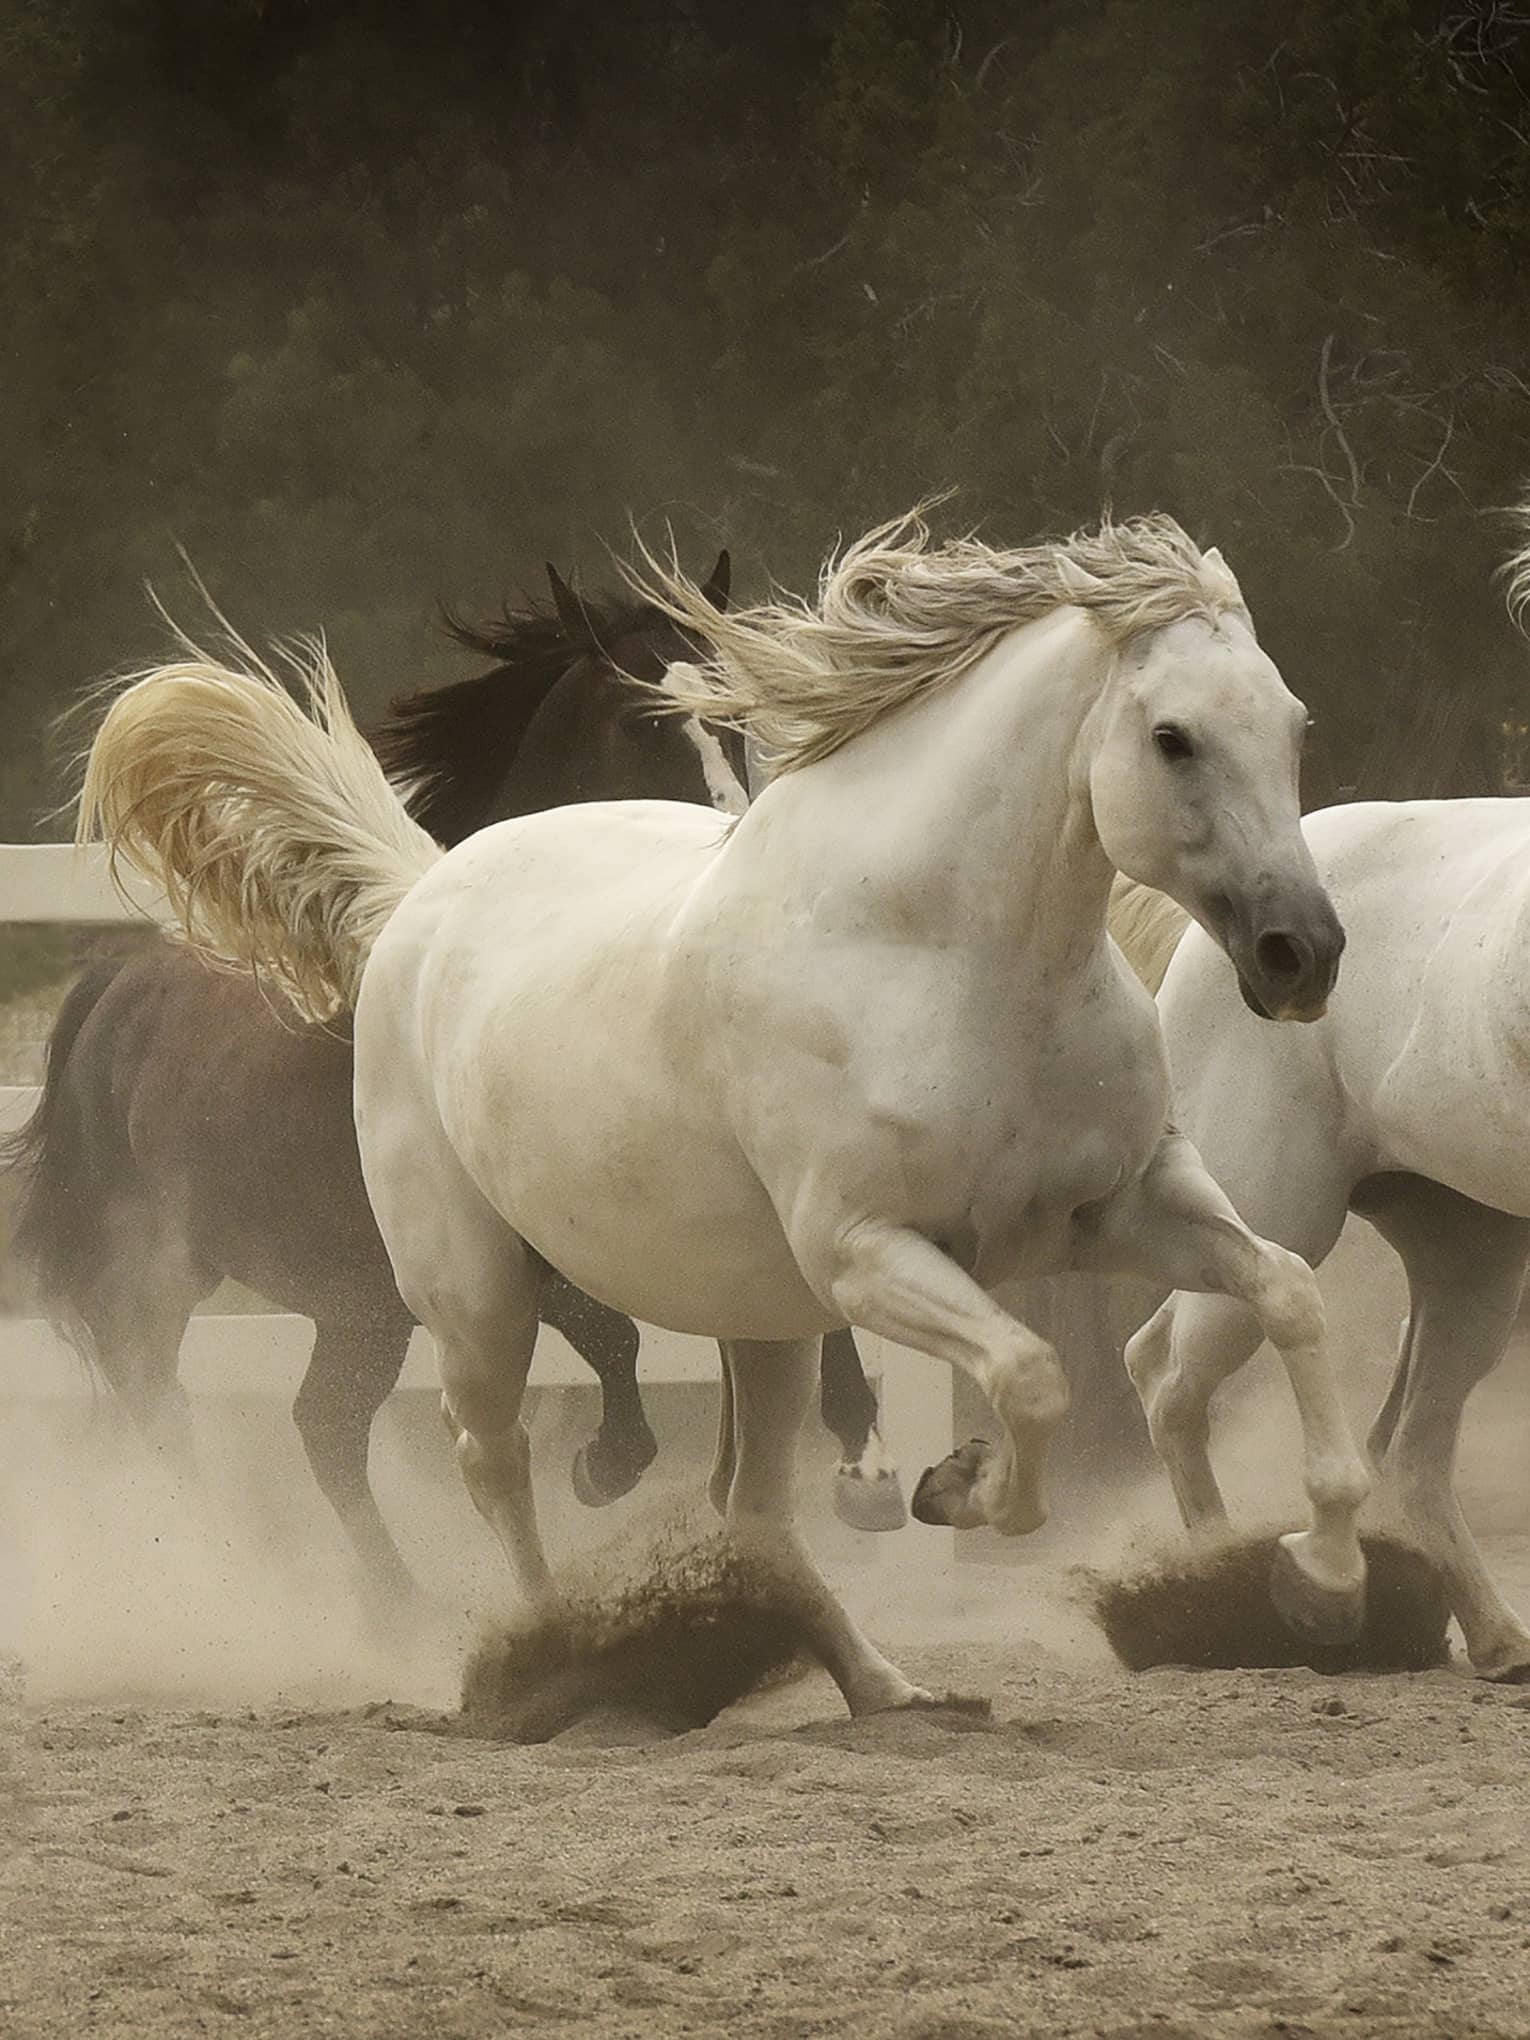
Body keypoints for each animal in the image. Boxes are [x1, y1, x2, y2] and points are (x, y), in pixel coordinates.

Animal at [76, 508, 1374, 1714]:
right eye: (1173, 737)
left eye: (1295, 725)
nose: (1301, 954)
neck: (943, 955)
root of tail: (419, 894)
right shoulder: (866, 1254)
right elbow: (1031, 1376)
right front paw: (961, 1485)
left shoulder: (1126, 1205)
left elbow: (1289, 1294)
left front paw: (1322, 1575)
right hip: (464, 1293)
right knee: (485, 1458)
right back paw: (551, 1662)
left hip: (759, 1315)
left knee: (752, 1507)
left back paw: (877, 1683)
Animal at [1107, 772, 1530, 1682]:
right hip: (1275, 1211)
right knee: (1169, 1375)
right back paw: (1236, 1586)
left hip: (1470, 1254)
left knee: (1409, 1452)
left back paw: (1497, 1639)